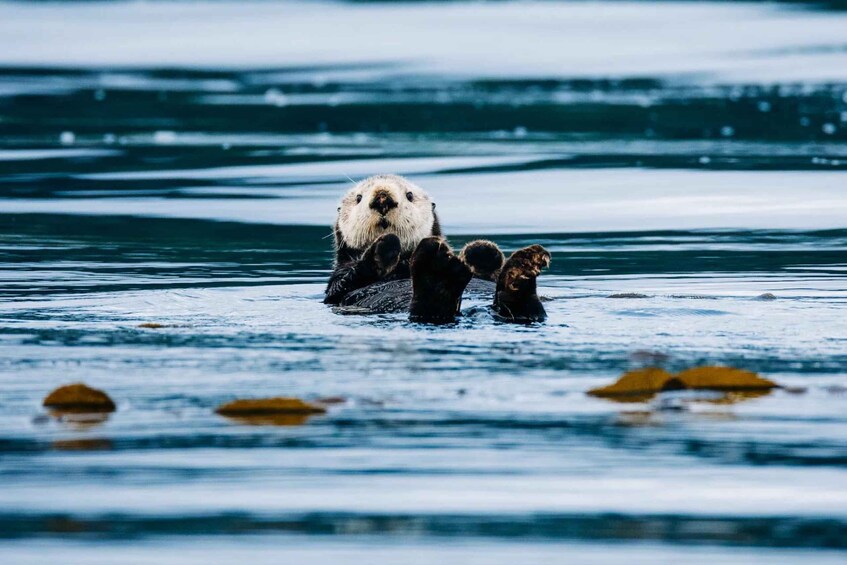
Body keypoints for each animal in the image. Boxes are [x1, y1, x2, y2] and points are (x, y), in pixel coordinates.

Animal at [324, 174, 550, 324]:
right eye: (358, 198)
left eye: (409, 195)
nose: (382, 198)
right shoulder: (338, 281)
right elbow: (346, 281)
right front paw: (385, 246)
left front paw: (482, 250)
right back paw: (438, 272)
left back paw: (519, 270)